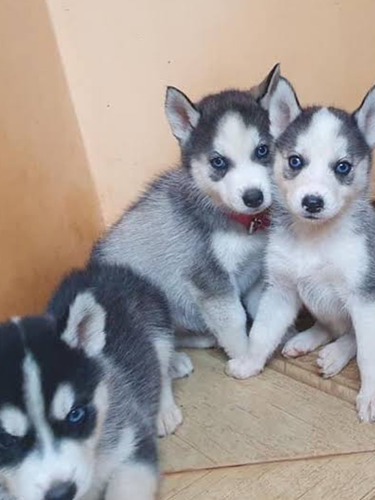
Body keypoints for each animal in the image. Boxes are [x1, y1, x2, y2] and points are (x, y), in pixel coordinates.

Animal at [90, 65, 280, 382]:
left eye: (262, 151)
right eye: (218, 162)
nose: (254, 197)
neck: (239, 223)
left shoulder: (253, 271)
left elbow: (259, 307)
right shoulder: (209, 280)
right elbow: (235, 319)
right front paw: (244, 358)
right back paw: (175, 361)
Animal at [226, 77, 375, 422]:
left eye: (342, 167)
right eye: (295, 161)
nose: (312, 202)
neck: (315, 238)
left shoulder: (365, 299)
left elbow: (368, 355)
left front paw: (371, 397)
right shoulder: (280, 289)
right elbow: (261, 332)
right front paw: (250, 363)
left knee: (351, 336)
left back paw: (334, 354)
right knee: (333, 326)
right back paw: (308, 341)